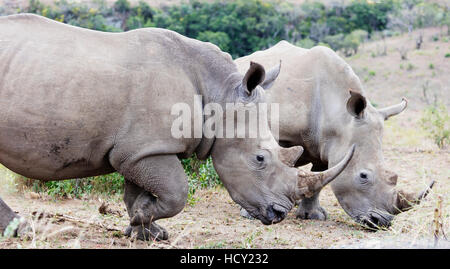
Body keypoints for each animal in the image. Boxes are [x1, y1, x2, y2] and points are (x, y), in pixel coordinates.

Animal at [0, 14, 356, 240]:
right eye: (259, 159)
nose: (280, 213)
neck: (220, 95)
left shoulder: (139, 149)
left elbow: (140, 191)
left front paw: (145, 230)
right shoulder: (145, 150)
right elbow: (176, 192)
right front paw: (141, 221)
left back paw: (18, 231)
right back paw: (22, 231)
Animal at [234, 40, 434, 227]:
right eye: (363, 176)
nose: (382, 222)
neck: (339, 114)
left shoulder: (326, 144)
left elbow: (320, 175)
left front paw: (312, 216)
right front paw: (250, 213)